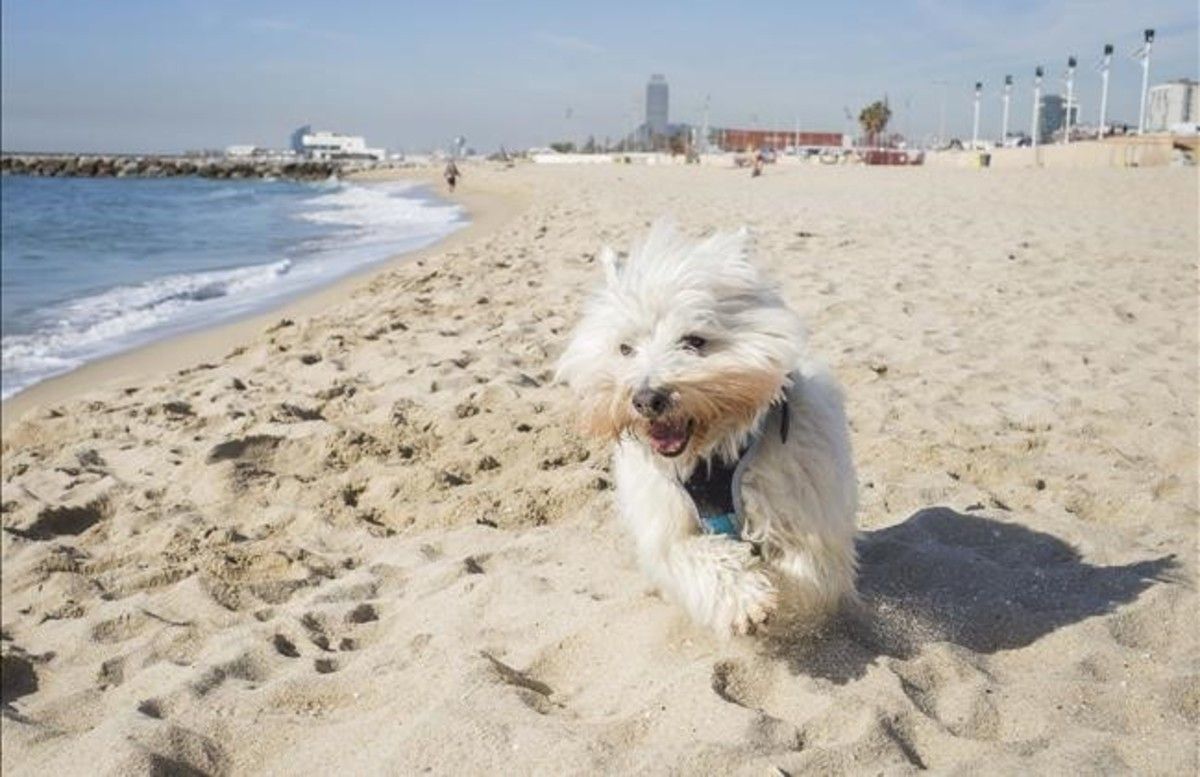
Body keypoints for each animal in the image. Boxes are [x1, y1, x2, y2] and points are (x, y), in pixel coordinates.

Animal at [556, 224, 859, 637]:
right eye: (625, 348)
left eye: (694, 341)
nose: (646, 399)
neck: (712, 455)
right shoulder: (668, 523)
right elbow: (695, 554)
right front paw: (746, 599)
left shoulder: (807, 515)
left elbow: (807, 570)